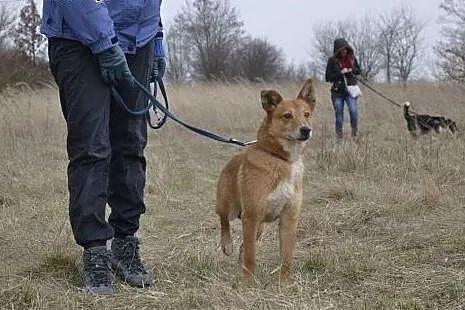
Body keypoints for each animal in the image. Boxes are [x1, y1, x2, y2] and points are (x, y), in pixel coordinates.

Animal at [216, 78, 318, 284]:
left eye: (306, 114)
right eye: (287, 116)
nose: (306, 130)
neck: (281, 159)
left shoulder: (288, 219)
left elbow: (286, 257)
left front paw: (285, 284)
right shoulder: (251, 216)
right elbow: (251, 256)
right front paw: (248, 283)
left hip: (259, 228)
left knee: (244, 245)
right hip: (229, 206)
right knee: (224, 220)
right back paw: (227, 244)